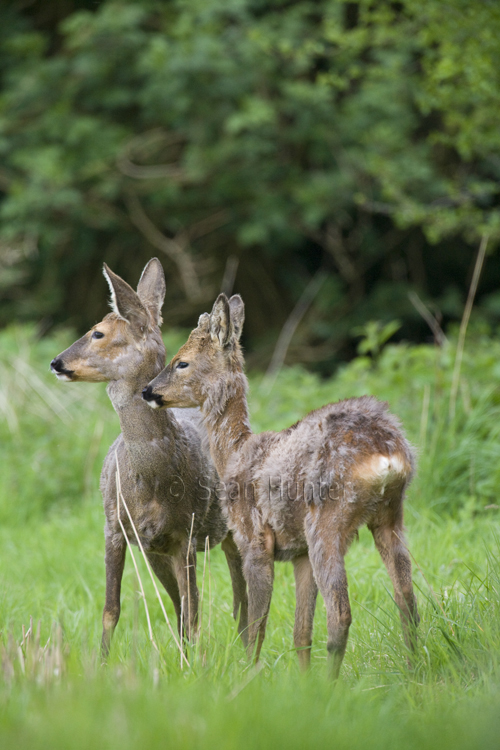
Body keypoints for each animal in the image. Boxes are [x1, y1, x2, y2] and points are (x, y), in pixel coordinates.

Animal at [50, 264, 246, 656]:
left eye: (98, 332)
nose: (56, 362)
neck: (151, 480)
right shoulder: (115, 527)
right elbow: (112, 609)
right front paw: (102, 661)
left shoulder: (186, 532)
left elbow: (194, 606)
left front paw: (193, 664)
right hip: (156, 552)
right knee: (181, 602)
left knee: (237, 591)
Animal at [143, 296, 420, 680]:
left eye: (182, 361)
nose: (147, 390)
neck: (235, 454)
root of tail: (385, 452)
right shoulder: (298, 551)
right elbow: (300, 632)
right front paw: (300, 683)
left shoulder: (254, 538)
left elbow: (255, 626)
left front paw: (250, 677)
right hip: (390, 516)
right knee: (407, 600)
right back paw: (413, 670)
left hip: (327, 519)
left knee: (341, 613)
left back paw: (332, 685)